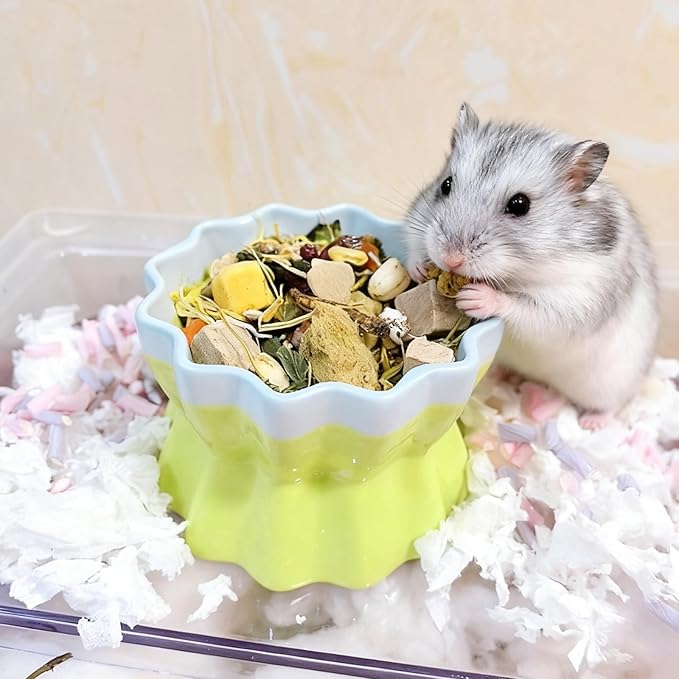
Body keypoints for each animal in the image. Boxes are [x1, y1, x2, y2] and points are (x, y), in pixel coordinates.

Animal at [403, 103, 658, 429]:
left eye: (520, 204)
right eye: (446, 185)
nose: (451, 258)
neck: (518, 272)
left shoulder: (575, 300)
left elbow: (525, 308)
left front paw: (475, 297)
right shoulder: (417, 217)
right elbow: (413, 240)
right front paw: (419, 269)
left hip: (610, 383)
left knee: (611, 404)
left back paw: (591, 422)